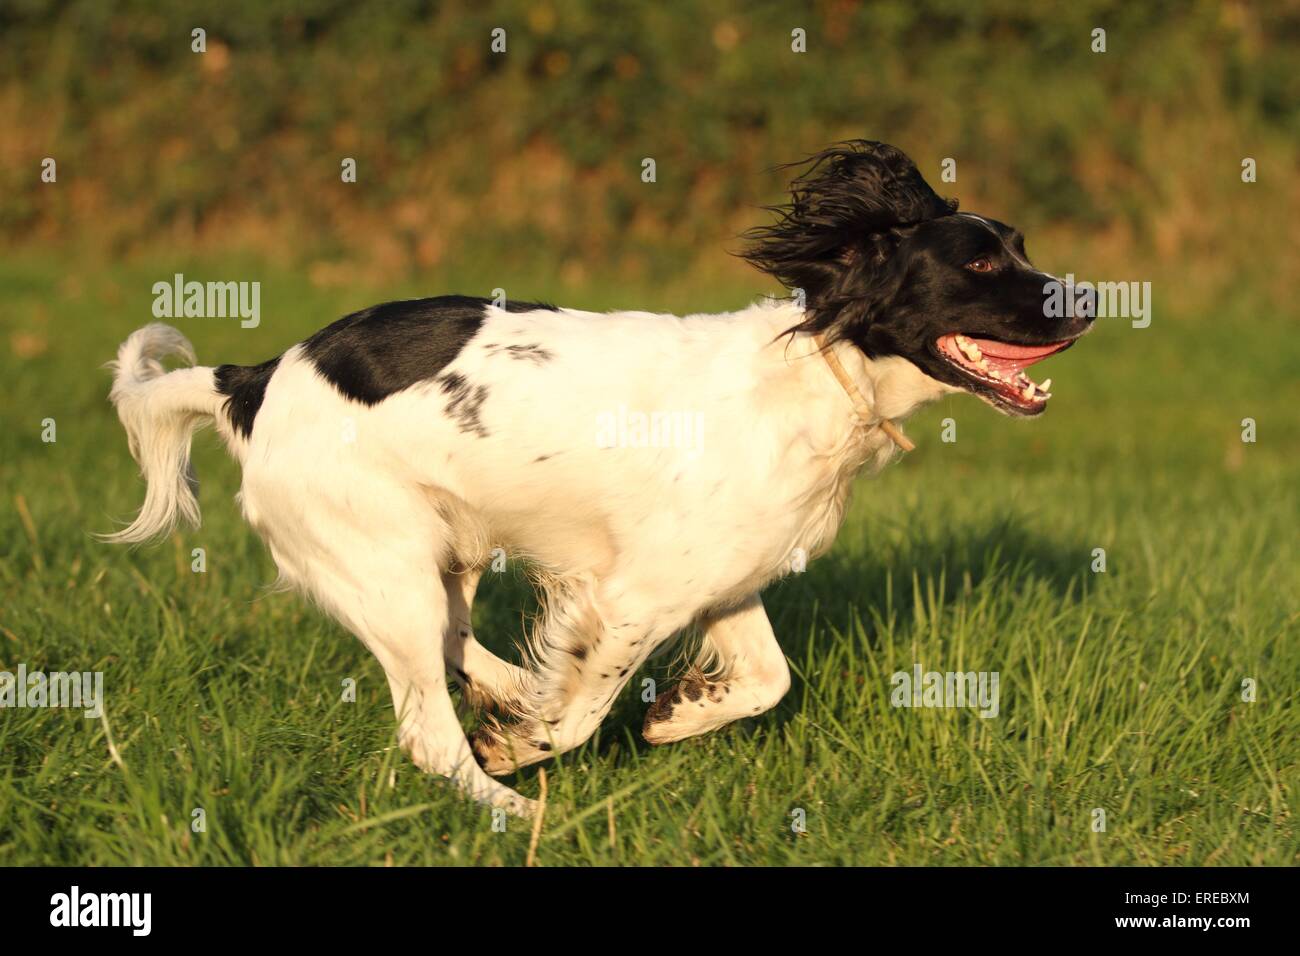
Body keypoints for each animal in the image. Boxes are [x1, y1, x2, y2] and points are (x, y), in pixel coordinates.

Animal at [106, 141, 1092, 816]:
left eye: (1018, 243)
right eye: (978, 261)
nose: (1086, 297)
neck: (818, 371)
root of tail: (253, 379)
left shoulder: (719, 583)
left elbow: (767, 678)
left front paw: (674, 716)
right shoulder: (634, 596)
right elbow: (582, 711)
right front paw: (527, 745)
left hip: (449, 550)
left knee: (457, 646)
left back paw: (508, 688)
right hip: (387, 564)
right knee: (428, 731)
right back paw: (511, 806)